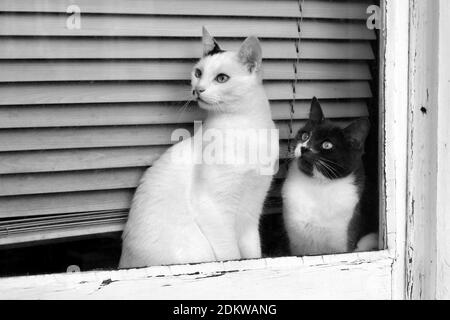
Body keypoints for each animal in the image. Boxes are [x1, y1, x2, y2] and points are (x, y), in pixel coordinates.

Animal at [119, 27, 278, 268]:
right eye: (198, 72)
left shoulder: (252, 210)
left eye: (222, 78)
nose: (198, 89)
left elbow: (253, 253)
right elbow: (232, 256)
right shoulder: (212, 207)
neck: (245, 129)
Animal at [284, 97, 378, 255]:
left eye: (327, 145)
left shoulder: (343, 239)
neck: (318, 184)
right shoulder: (298, 245)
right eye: (305, 136)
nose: (304, 148)